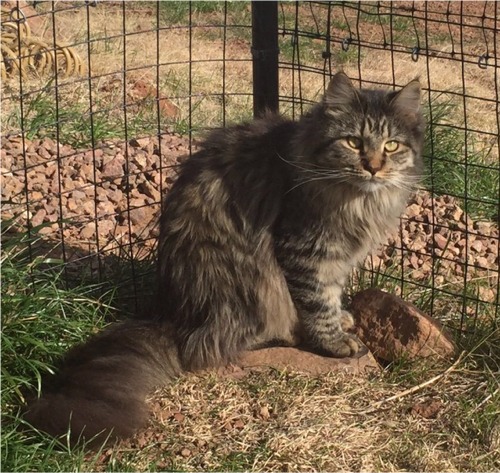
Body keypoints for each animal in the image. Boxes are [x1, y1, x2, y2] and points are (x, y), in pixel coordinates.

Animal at [22, 72, 422, 444]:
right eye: (354, 142)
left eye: (391, 145)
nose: (374, 166)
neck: (359, 199)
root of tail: (175, 317)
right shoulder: (304, 249)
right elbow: (317, 303)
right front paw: (335, 341)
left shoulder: (336, 258)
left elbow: (333, 294)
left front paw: (342, 319)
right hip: (251, 283)